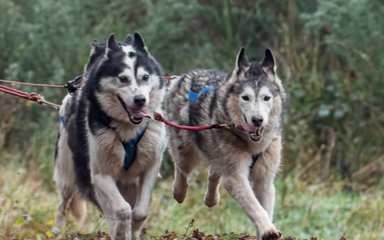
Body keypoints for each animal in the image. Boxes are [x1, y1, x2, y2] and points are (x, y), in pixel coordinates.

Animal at [53, 32, 166, 239]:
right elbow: (121, 210)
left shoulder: (150, 168)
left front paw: (134, 228)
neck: (128, 129)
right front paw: (122, 230)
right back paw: (57, 229)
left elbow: (139, 211)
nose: (140, 100)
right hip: (67, 174)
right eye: (123, 78)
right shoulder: (100, 175)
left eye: (145, 77)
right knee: (64, 203)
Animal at [165, 47, 284, 239]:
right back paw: (179, 192)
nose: (257, 120)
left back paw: (211, 199)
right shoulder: (236, 176)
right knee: (181, 168)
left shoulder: (264, 178)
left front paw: (265, 230)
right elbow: (256, 208)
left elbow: (265, 208)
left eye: (266, 98)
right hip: (186, 154)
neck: (251, 144)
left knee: (214, 171)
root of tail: (182, 76)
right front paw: (269, 230)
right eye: (245, 97)